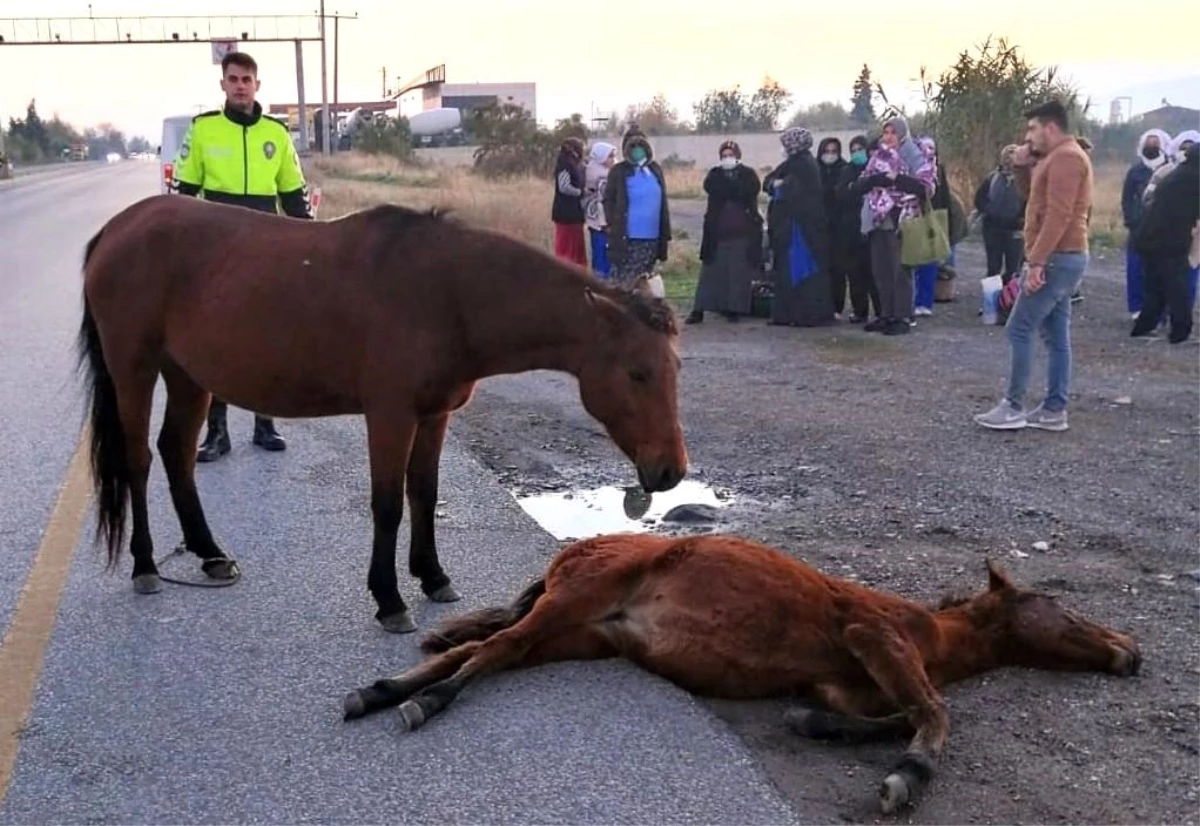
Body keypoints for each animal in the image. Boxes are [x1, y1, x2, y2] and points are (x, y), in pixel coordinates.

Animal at [75, 195, 691, 633]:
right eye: (638, 373)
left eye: (675, 368)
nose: (670, 471)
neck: (448, 295)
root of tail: (117, 228)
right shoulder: (390, 416)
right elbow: (388, 504)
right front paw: (389, 598)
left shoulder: (434, 415)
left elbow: (424, 492)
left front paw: (433, 575)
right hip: (134, 369)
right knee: (137, 460)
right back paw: (145, 566)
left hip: (188, 378)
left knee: (176, 453)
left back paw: (209, 554)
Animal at [343, 535, 1137, 811]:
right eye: (1064, 612)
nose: (1130, 652)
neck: (931, 633)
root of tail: (576, 551)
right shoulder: (873, 636)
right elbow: (935, 712)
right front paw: (905, 780)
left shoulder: (847, 680)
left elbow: (893, 714)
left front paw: (817, 726)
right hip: (577, 601)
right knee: (488, 653)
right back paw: (422, 703)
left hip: (581, 635)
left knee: (484, 650)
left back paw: (379, 693)